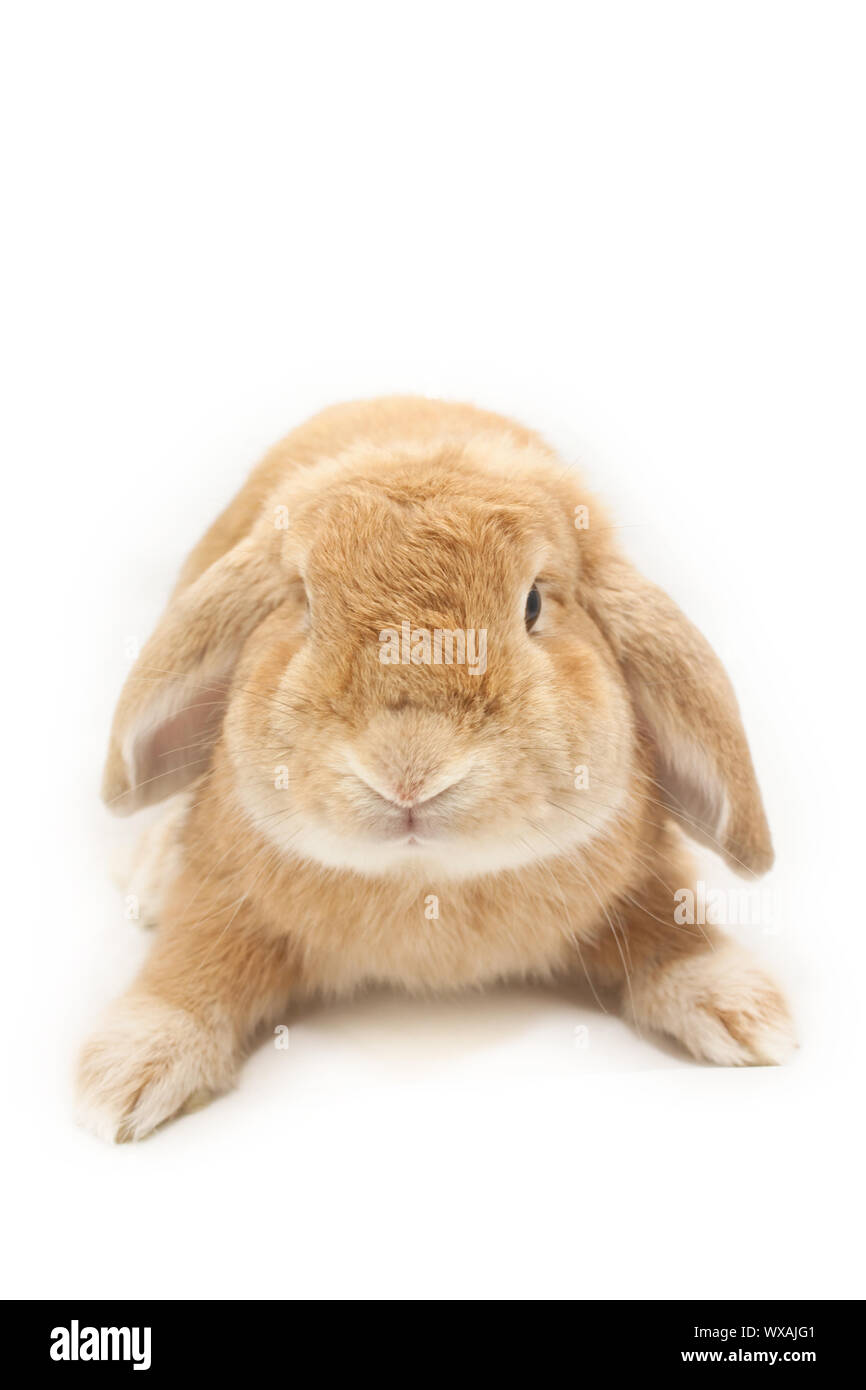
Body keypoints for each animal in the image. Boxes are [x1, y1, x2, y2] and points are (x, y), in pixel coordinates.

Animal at [78, 396, 794, 1141]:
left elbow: (672, 929)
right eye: (303, 603)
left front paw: (742, 1011)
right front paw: (130, 1073)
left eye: (534, 603)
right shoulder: (222, 898)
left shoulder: (642, 880)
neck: (426, 883)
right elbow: (190, 967)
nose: (408, 768)